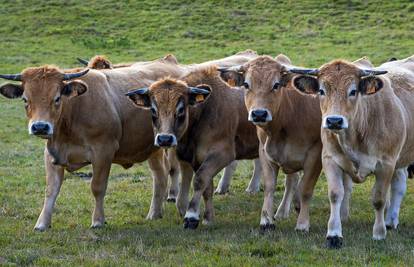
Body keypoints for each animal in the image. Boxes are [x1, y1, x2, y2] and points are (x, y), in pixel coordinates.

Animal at [0, 57, 186, 232]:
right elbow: (51, 190)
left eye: (57, 98)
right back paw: (154, 213)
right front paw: (42, 223)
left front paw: (98, 221)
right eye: (25, 99)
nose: (40, 126)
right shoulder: (52, 153)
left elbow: (97, 186)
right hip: (153, 149)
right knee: (160, 175)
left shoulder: (103, 152)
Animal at [126, 66, 300, 229]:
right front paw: (208, 218)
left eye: (181, 109)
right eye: (153, 110)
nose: (164, 139)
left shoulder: (222, 154)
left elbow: (199, 180)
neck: (205, 110)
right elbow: (206, 187)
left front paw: (191, 216)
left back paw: (283, 212)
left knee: (291, 179)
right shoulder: (195, 158)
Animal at [288, 55, 414, 250]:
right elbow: (335, 194)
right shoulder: (330, 159)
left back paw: (388, 222)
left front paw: (379, 233)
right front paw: (333, 234)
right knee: (399, 183)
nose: (334, 121)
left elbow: (379, 199)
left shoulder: (386, 164)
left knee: (397, 188)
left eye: (353, 91)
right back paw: (391, 220)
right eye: (321, 90)